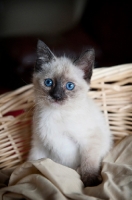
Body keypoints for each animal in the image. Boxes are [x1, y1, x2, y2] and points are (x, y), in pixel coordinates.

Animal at [28, 39, 112, 187]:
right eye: (48, 82)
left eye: (69, 86)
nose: (56, 96)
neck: (56, 113)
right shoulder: (38, 145)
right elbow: (33, 163)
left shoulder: (89, 140)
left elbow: (88, 163)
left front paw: (90, 182)